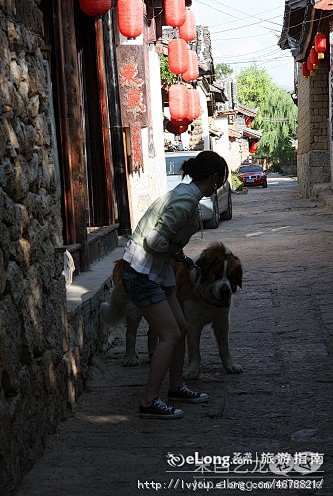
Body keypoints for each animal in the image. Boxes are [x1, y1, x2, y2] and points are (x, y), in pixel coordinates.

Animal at [100, 242, 241, 378]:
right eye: (216, 275)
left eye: (231, 276)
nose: (225, 291)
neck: (205, 294)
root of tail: (123, 260)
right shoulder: (192, 324)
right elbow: (194, 349)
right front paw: (193, 371)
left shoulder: (222, 321)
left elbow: (224, 346)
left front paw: (230, 365)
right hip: (134, 308)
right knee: (130, 334)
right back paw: (130, 358)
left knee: (152, 332)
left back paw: (153, 355)